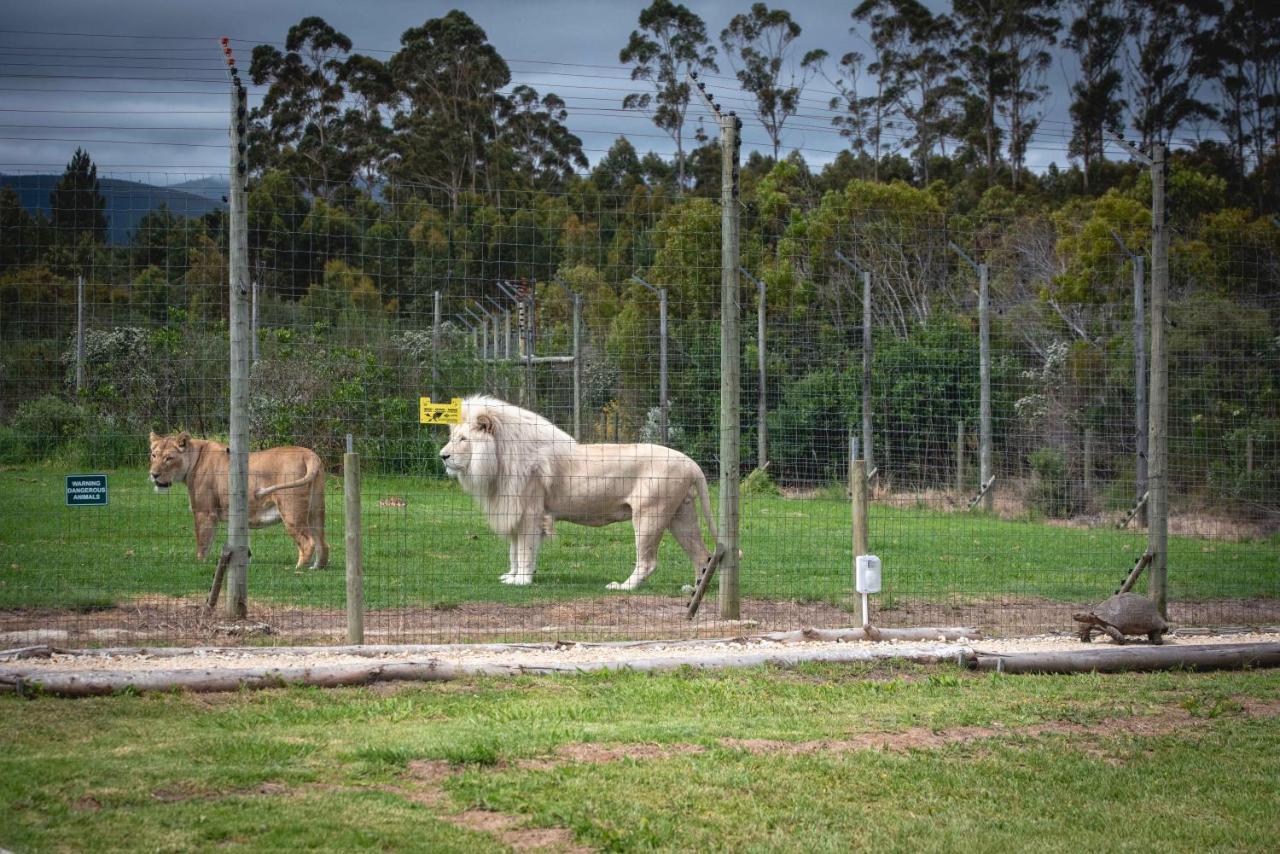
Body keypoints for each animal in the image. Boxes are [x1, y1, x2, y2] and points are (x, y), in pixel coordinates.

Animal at [440, 396, 721, 588]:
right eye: (453, 437)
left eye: (463, 440)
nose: (442, 456)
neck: (499, 458)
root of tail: (690, 462)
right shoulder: (515, 511)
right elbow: (514, 550)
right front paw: (512, 575)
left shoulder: (529, 510)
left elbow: (524, 550)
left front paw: (522, 581)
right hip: (680, 515)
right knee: (703, 556)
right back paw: (694, 590)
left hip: (650, 515)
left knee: (648, 562)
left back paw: (623, 586)